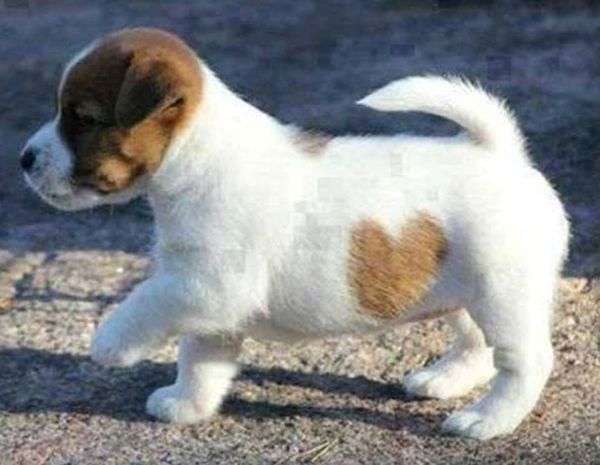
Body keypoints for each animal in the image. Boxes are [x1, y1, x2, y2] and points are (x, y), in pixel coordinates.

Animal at [21, 29, 568, 438]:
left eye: (83, 117)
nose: (24, 159)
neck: (198, 158)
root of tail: (503, 153)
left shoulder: (203, 287)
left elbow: (143, 302)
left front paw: (109, 343)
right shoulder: (210, 307)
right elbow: (200, 360)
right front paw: (186, 405)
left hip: (503, 295)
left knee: (527, 362)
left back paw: (485, 420)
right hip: (461, 292)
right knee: (477, 345)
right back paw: (443, 378)